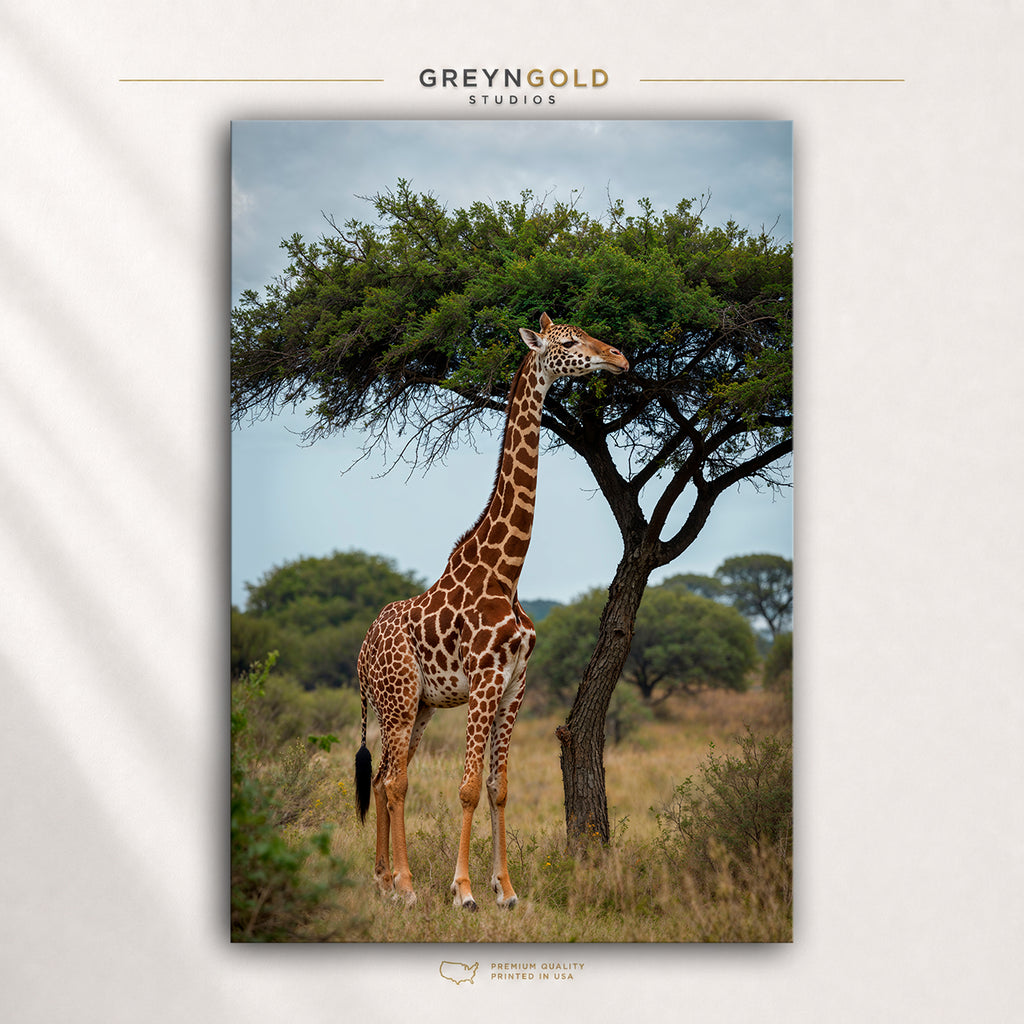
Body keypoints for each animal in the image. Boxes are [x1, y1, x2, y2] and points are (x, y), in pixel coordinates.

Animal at [354, 312, 629, 909]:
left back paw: (383, 879)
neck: (507, 572)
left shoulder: (515, 684)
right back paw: (406, 885)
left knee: (386, 777)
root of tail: (360, 654)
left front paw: (506, 890)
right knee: (395, 781)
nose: (618, 357)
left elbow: (499, 789)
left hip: (418, 706)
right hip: (398, 700)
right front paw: (464, 891)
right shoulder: (484, 679)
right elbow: (466, 789)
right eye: (568, 341)